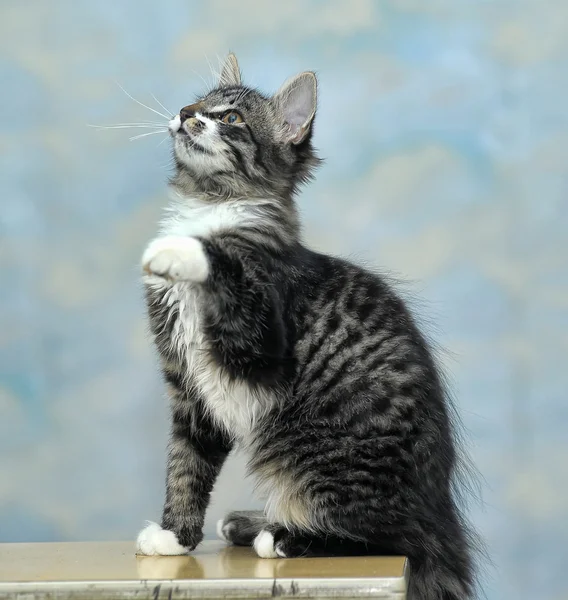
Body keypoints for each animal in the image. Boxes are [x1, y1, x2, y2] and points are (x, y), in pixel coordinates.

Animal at [135, 54, 478, 596]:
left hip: (329, 462)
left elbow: (222, 260)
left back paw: (282, 536)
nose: (187, 113)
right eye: (196, 101)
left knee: (392, 538)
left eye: (230, 117)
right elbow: (185, 467)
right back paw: (252, 522)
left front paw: (179, 248)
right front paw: (175, 537)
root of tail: (441, 513)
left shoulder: (257, 346)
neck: (212, 204)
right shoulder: (191, 392)